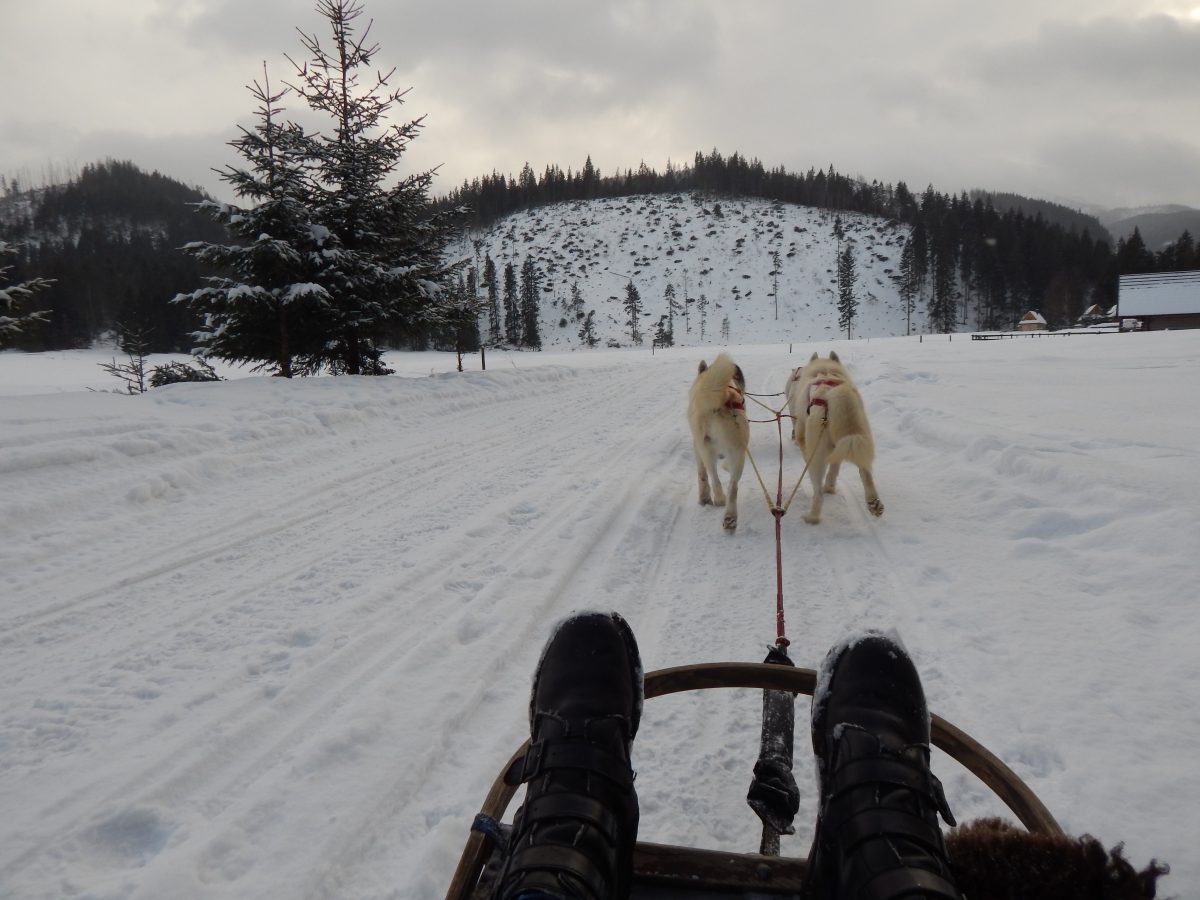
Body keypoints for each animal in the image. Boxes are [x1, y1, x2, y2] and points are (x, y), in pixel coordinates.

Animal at [691, 355, 744, 535]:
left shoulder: (697, 446)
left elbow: (702, 475)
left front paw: (703, 498)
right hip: (738, 453)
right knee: (733, 486)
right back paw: (730, 519)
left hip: (707, 450)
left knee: (714, 479)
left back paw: (719, 500)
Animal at [787, 348, 883, 525]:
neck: (825, 371)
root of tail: (832, 394)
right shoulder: (838, 447)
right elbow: (834, 468)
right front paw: (831, 487)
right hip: (857, 440)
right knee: (865, 473)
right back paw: (874, 503)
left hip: (818, 452)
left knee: (818, 491)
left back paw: (812, 517)